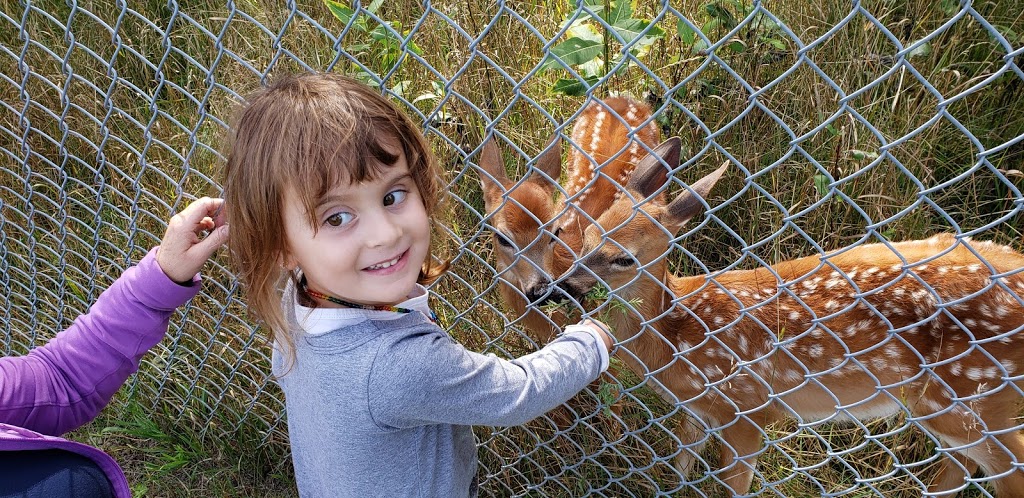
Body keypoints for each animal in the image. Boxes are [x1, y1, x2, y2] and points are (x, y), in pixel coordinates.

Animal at [557, 137, 1024, 498]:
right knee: (962, 466)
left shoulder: (748, 409)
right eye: (589, 233)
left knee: (1006, 467)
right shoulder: (697, 409)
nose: (562, 285)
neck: (677, 334)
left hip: (970, 395)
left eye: (624, 258)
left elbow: (734, 484)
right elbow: (681, 462)